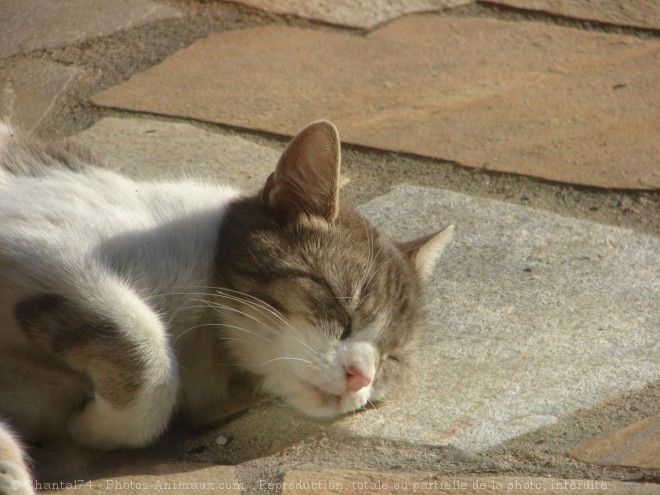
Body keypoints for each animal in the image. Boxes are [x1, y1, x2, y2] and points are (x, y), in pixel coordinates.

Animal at [0, 119, 452, 492]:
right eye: (342, 310)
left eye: (391, 359)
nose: (361, 377)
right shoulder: (47, 245)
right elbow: (147, 350)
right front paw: (94, 426)